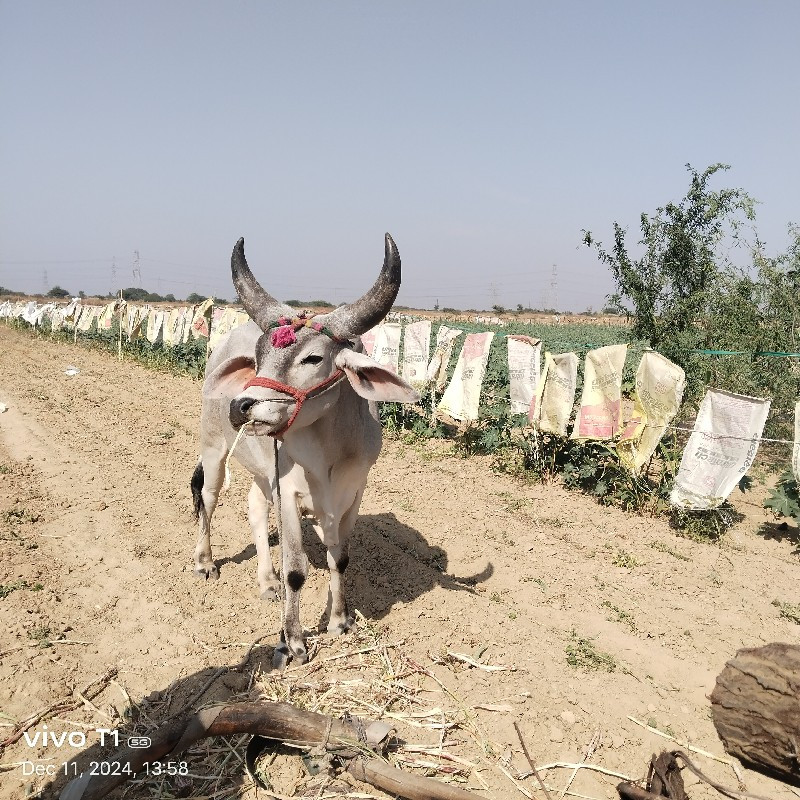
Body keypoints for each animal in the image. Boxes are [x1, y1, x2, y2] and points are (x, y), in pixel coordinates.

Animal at [191, 234, 418, 664]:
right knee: (208, 501)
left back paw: (267, 581)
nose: (240, 406)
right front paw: (293, 641)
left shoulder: (353, 493)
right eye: (259, 358)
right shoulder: (290, 494)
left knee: (255, 508)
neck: (328, 451)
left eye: (313, 357)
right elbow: (297, 569)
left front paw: (339, 621)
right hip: (213, 451)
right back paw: (205, 562)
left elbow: (340, 558)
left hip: (262, 473)